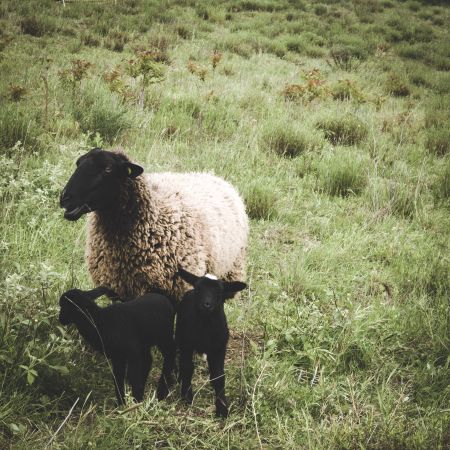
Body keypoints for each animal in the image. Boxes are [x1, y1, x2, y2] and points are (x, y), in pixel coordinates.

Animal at [59, 148, 250, 302]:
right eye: (78, 163)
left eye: (107, 169)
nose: (65, 198)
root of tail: (212, 175)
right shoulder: (119, 289)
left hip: (230, 272)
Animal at [175, 268, 246, 418]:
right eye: (198, 288)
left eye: (220, 292)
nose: (206, 305)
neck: (205, 328)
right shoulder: (187, 345)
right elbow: (187, 368)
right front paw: (186, 396)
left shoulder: (219, 348)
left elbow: (218, 376)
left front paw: (222, 408)